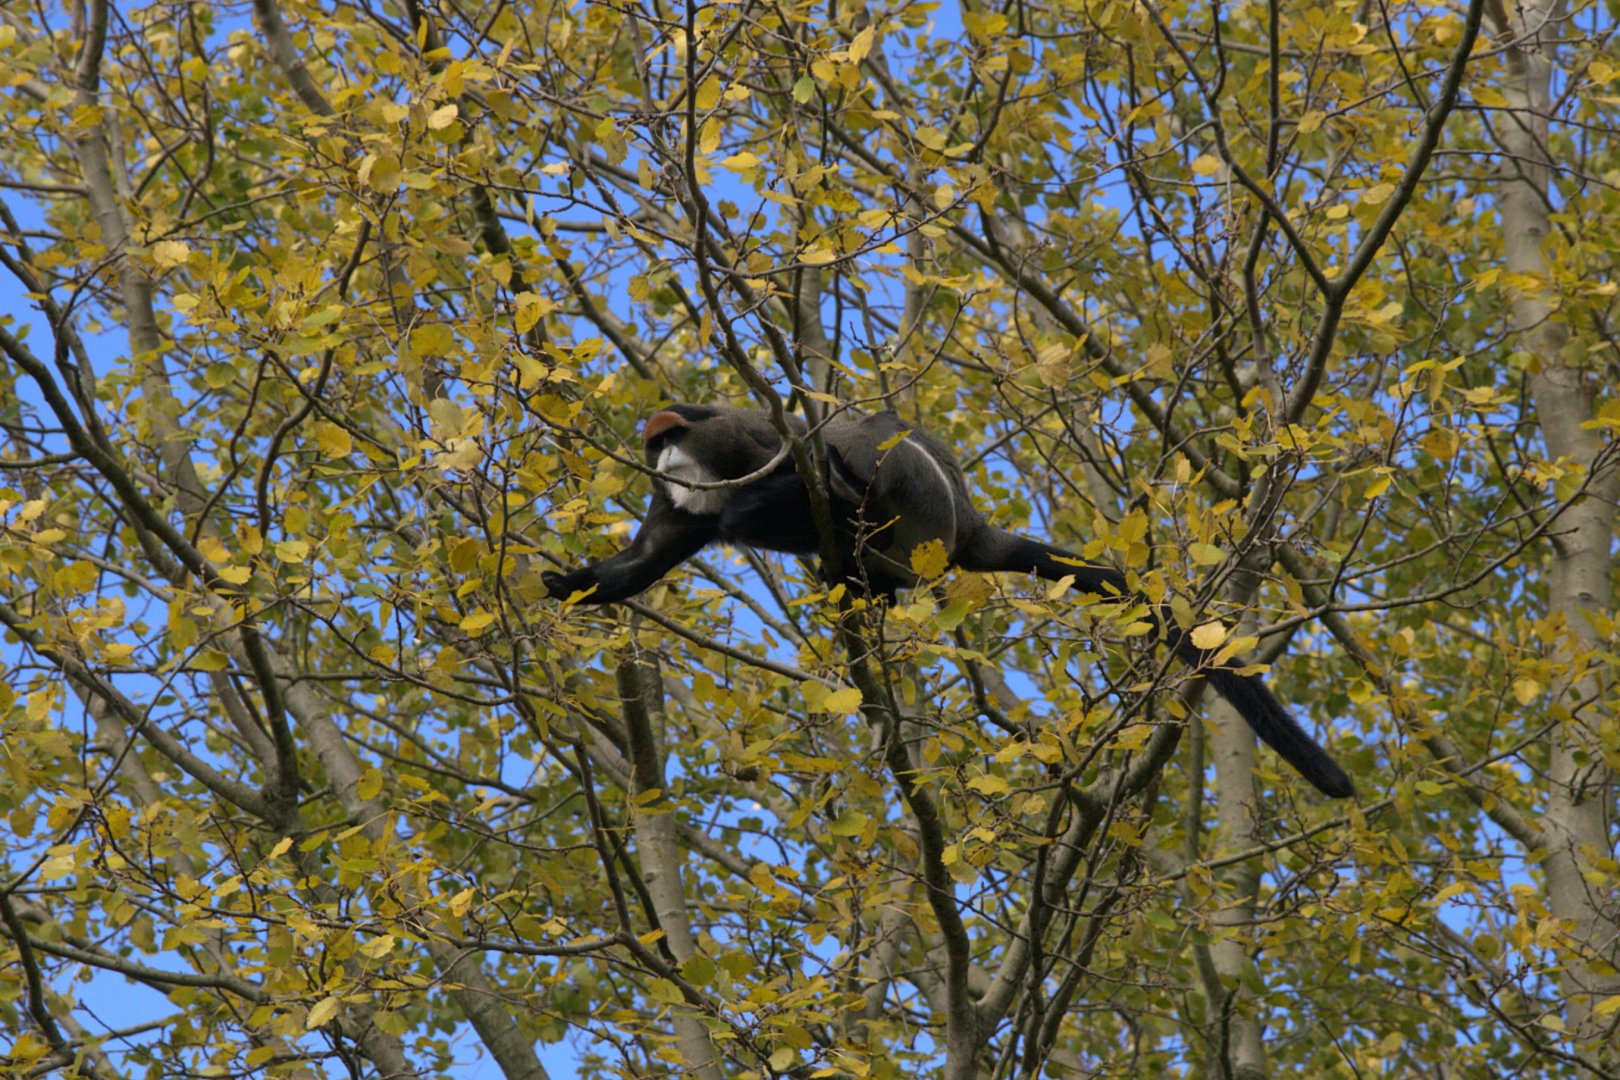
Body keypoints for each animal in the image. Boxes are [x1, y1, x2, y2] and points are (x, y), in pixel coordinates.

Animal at [543, 403, 1354, 798]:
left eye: (667, 440)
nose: (662, 458)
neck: (703, 466)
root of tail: (969, 528)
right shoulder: (677, 503)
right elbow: (646, 559)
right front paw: (569, 584)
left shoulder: (738, 444)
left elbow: (796, 470)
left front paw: (788, 497)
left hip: (917, 500)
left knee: (861, 453)